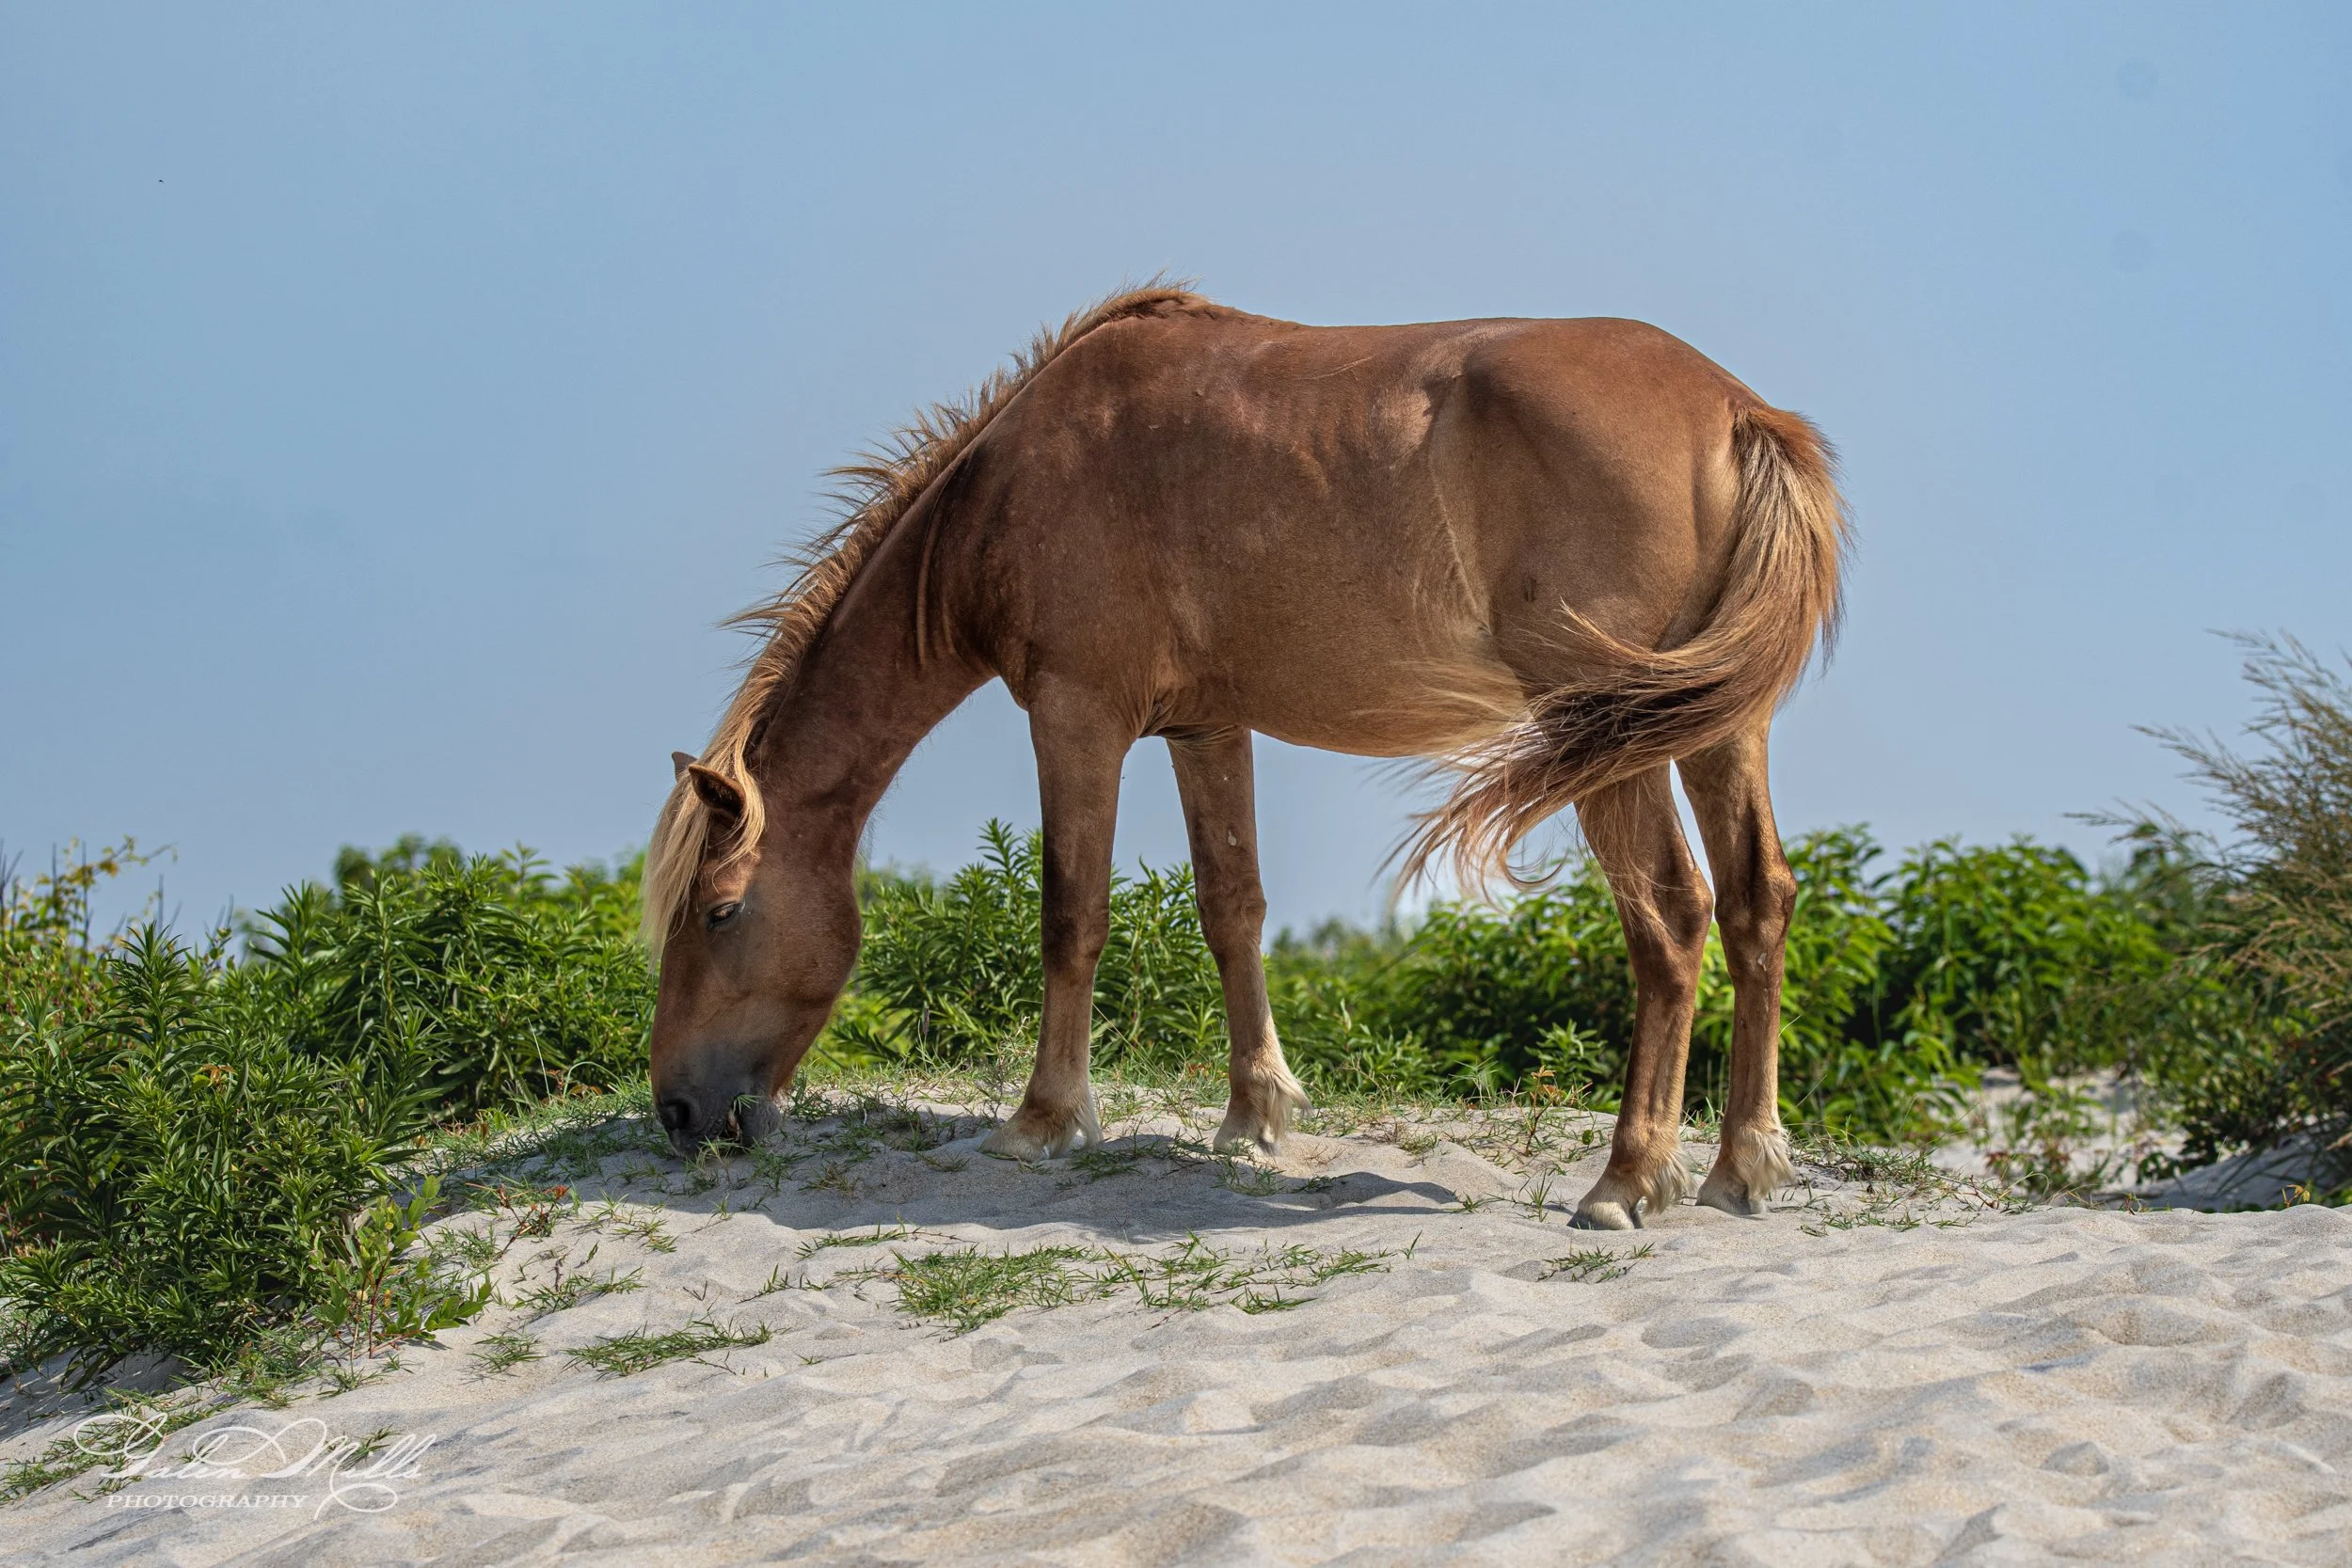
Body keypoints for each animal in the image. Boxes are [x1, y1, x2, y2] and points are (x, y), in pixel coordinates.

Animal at [641, 284, 1847, 1230]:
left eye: (719, 911)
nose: (678, 1112)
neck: (1015, 481)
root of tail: (1734, 410)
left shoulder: (1076, 718)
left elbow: (1071, 914)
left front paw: (1043, 1118)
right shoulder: (1206, 728)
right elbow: (1232, 904)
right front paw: (1252, 1112)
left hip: (1610, 733)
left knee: (1672, 917)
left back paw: (1627, 1178)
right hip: (1712, 728)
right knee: (1756, 901)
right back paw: (1742, 1167)